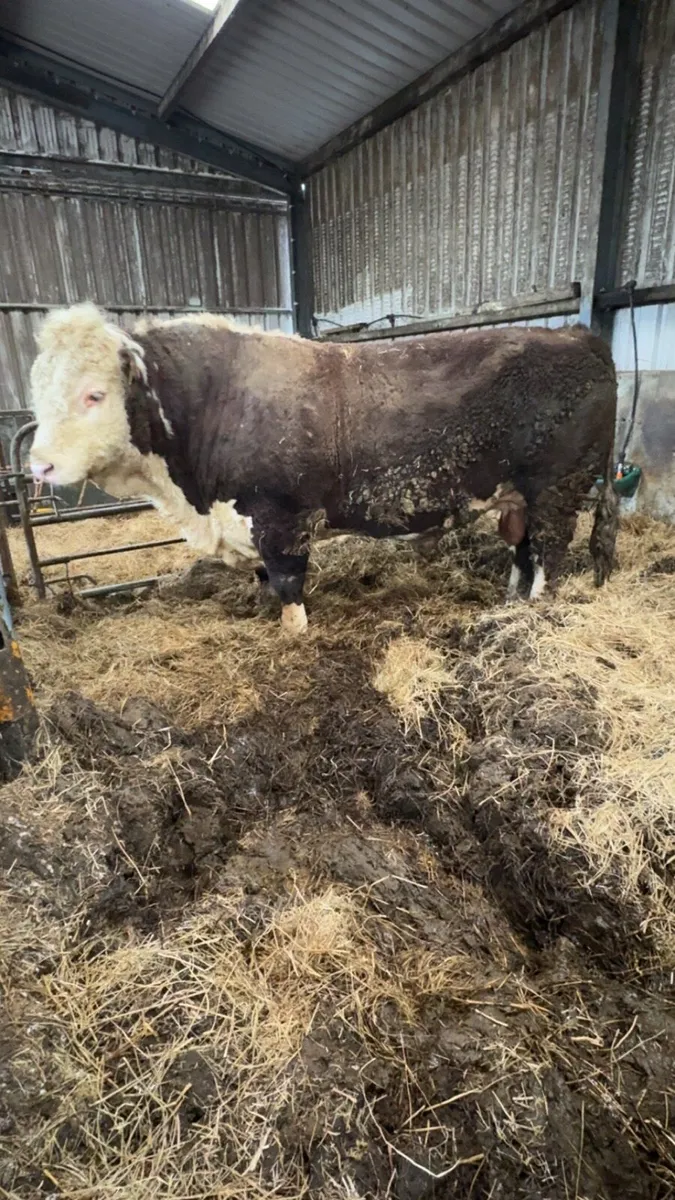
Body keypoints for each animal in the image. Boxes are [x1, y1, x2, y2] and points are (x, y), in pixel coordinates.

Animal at [29, 304, 618, 633]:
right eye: (37, 388)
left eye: (94, 394)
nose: (39, 466)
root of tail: (577, 335)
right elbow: (268, 581)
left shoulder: (280, 518)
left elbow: (289, 584)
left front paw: (293, 632)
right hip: (521, 495)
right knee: (525, 551)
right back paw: (510, 606)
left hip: (558, 490)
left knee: (549, 555)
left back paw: (534, 612)